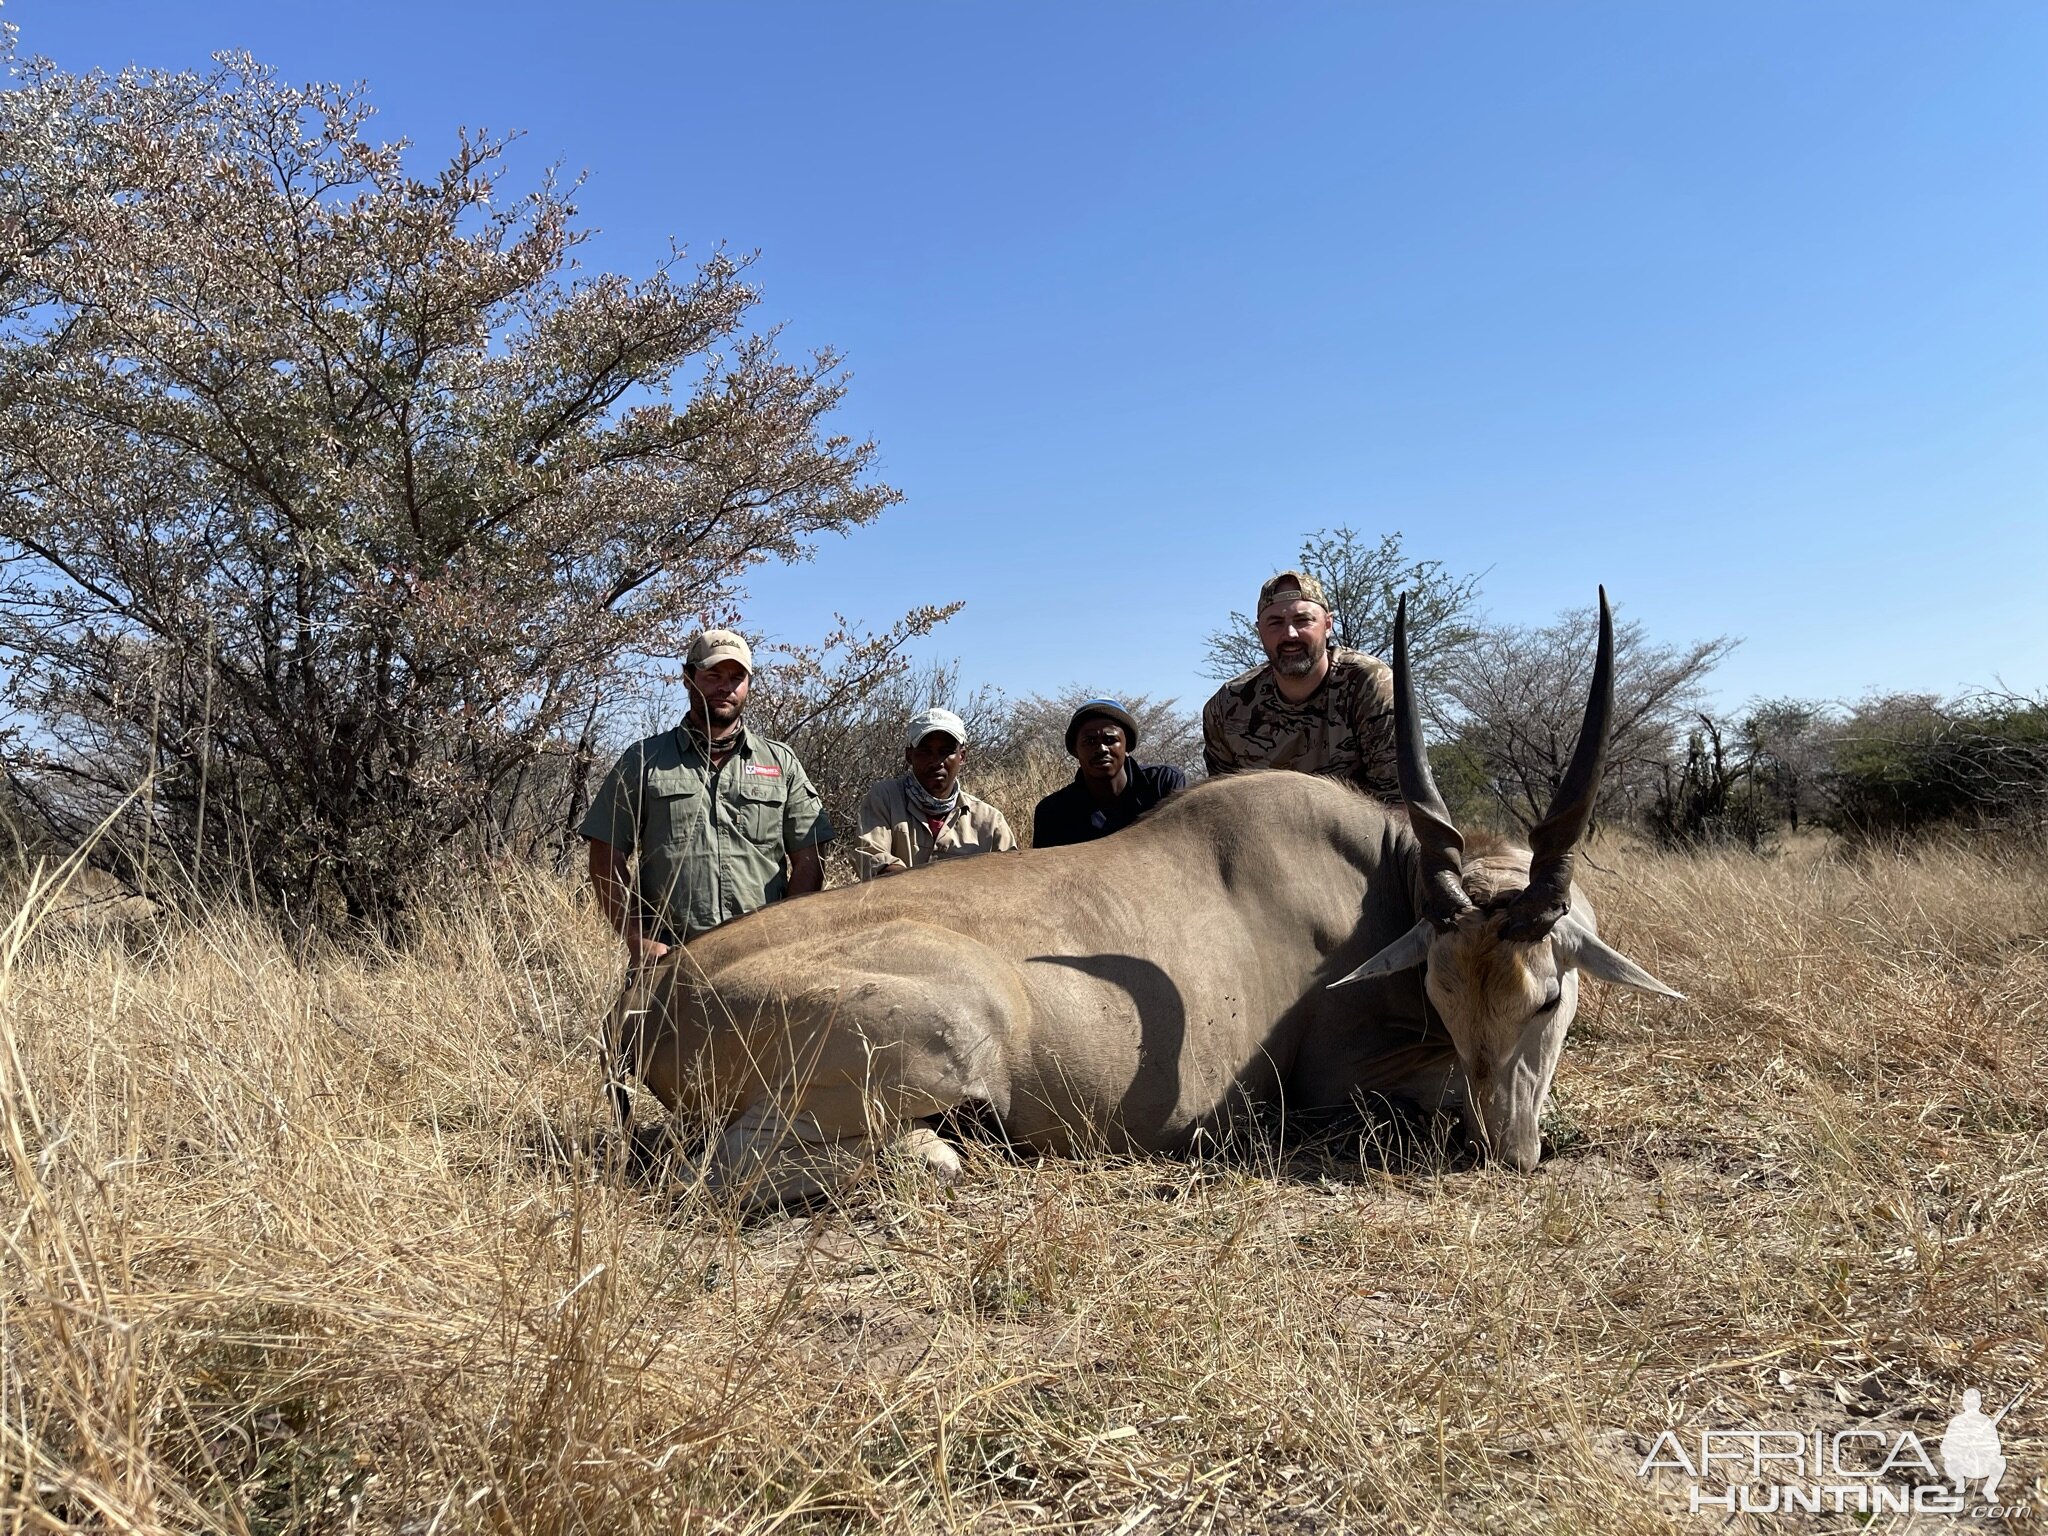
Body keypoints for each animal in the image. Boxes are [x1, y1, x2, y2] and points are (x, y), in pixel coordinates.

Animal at [618, 589, 1679, 1204]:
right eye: (1445, 996)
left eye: (1547, 998)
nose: (1506, 1152)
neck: (1380, 881)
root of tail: (656, 994)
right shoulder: (1339, 1083)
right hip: (947, 1040)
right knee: (732, 1170)